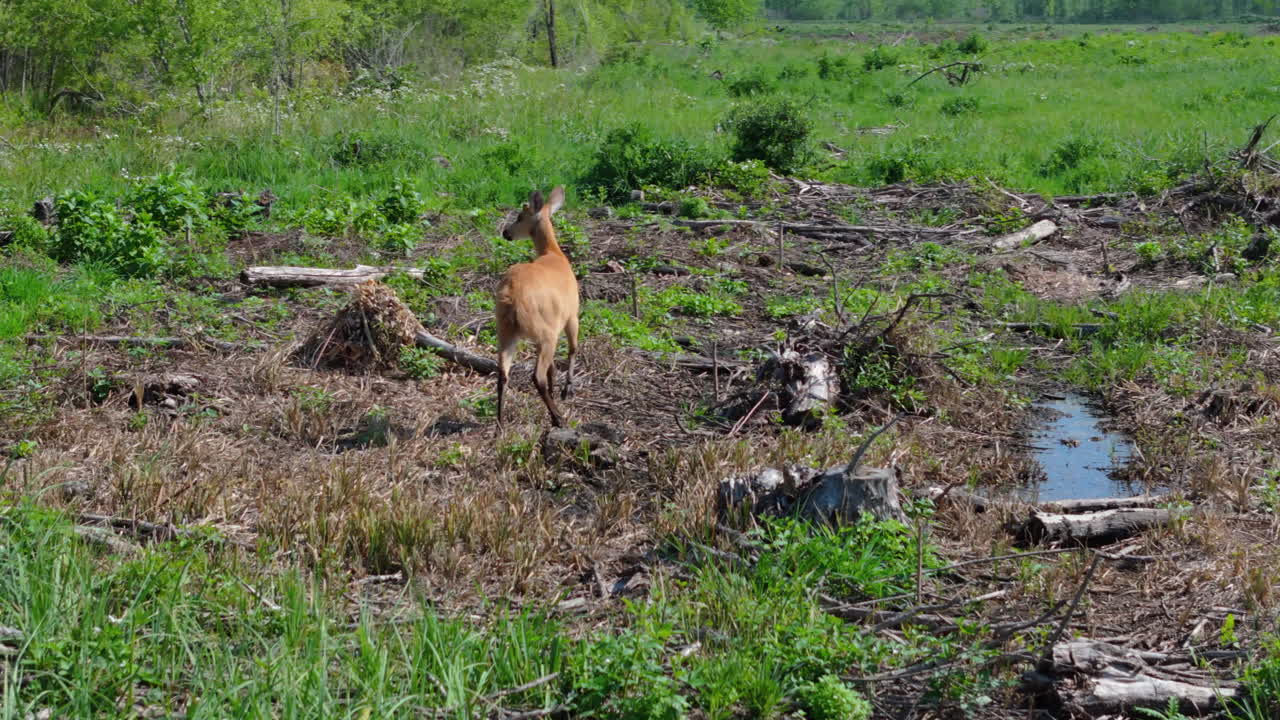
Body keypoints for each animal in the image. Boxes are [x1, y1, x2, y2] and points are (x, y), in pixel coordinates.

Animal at [494, 186, 579, 428]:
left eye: (519, 216)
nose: (506, 233)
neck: (553, 254)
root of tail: (511, 298)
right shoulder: (572, 314)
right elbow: (573, 349)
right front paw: (566, 390)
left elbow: (553, 367)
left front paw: (557, 389)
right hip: (545, 331)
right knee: (536, 376)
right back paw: (558, 418)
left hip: (506, 330)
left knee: (502, 373)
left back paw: (500, 423)